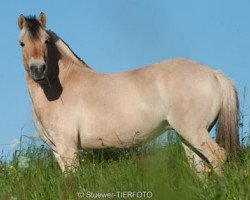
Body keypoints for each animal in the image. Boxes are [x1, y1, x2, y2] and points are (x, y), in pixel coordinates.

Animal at [17, 12, 240, 173]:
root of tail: (214, 73)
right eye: (22, 43)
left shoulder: (68, 149)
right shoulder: (57, 151)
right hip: (187, 137)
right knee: (200, 167)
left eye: (46, 41)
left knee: (218, 157)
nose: (38, 69)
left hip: (194, 132)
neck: (60, 88)